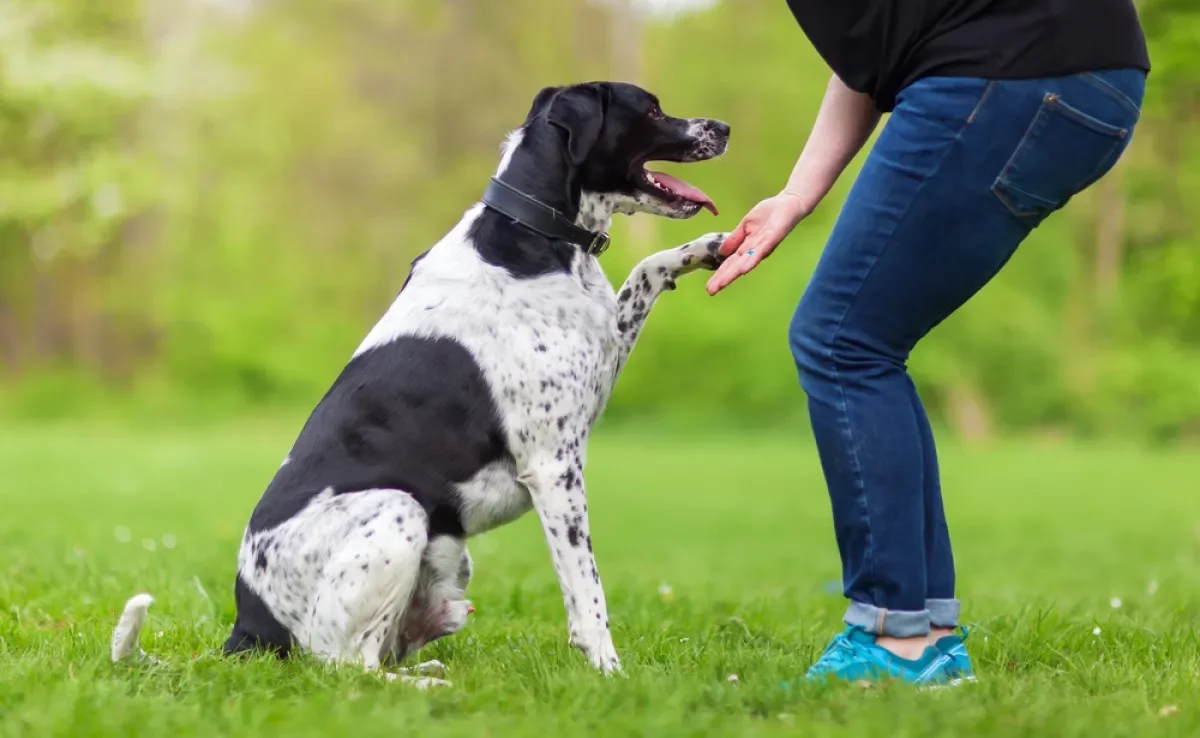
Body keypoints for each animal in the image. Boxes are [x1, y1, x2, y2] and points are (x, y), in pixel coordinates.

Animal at [112, 81, 729, 686]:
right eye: (652, 109)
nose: (723, 127)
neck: (534, 232)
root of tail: (246, 630)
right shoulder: (554, 467)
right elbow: (588, 594)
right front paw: (609, 671)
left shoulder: (603, 350)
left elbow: (646, 270)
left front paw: (707, 249)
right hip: (398, 511)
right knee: (345, 666)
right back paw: (427, 685)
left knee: (380, 652)